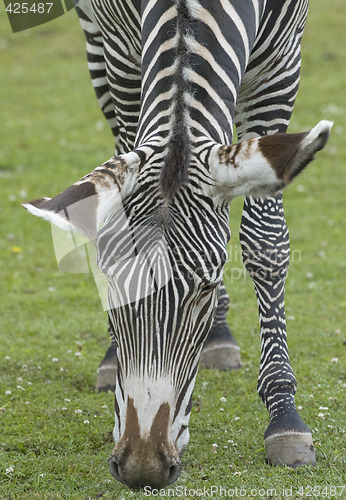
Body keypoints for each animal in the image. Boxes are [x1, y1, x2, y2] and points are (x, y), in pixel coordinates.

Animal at [23, 0, 332, 490]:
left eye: (204, 288)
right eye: (108, 282)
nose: (143, 467)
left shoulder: (279, 67)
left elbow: (265, 240)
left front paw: (285, 417)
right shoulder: (122, 54)